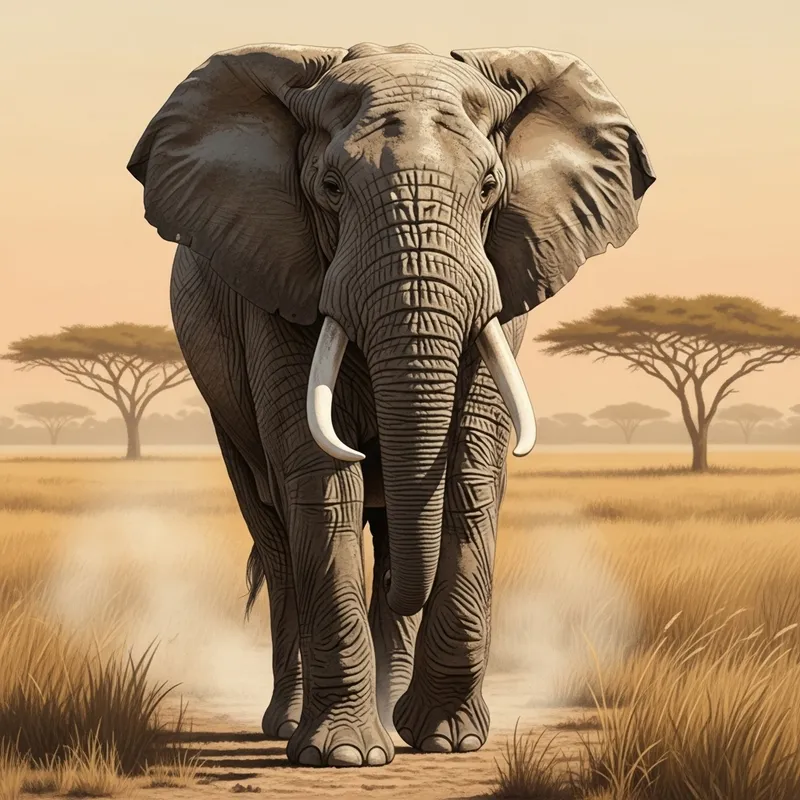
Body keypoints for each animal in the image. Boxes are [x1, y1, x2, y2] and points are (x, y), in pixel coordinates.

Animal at [127, 40, 655, 768]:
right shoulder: (275, 280)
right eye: (330, 188)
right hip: (221, 400)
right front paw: (344, 756)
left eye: (489, 188)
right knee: (277, 532)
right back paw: (290, 724)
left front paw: (447, 741)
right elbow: (321, 481)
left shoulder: (504, 283)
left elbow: (470, 472)